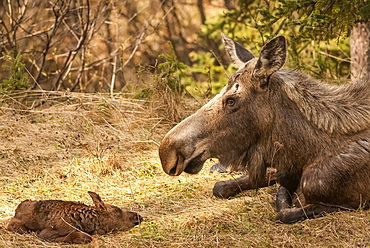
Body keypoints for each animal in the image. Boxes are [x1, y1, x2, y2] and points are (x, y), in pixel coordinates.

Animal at [7, 191, 143, 243]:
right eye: (117, 210)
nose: (139, 216)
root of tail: (17, 209)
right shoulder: (46, 234)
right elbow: (81, 236)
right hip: (17, 226)